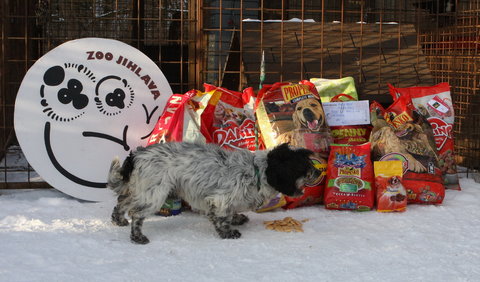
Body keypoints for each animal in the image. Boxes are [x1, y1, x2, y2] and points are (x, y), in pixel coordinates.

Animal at [108, 142, 318, 243]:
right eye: (303, 166)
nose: (319, 172)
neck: (256, 172)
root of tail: (136, 156)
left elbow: (231, 213)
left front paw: (237, 219)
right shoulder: (220, 199)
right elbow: (222, 218)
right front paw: (228, 232)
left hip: (142, 190)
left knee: (122, 201)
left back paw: (118, 220)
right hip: (155, 193)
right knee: (136, 213)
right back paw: (137, 237)